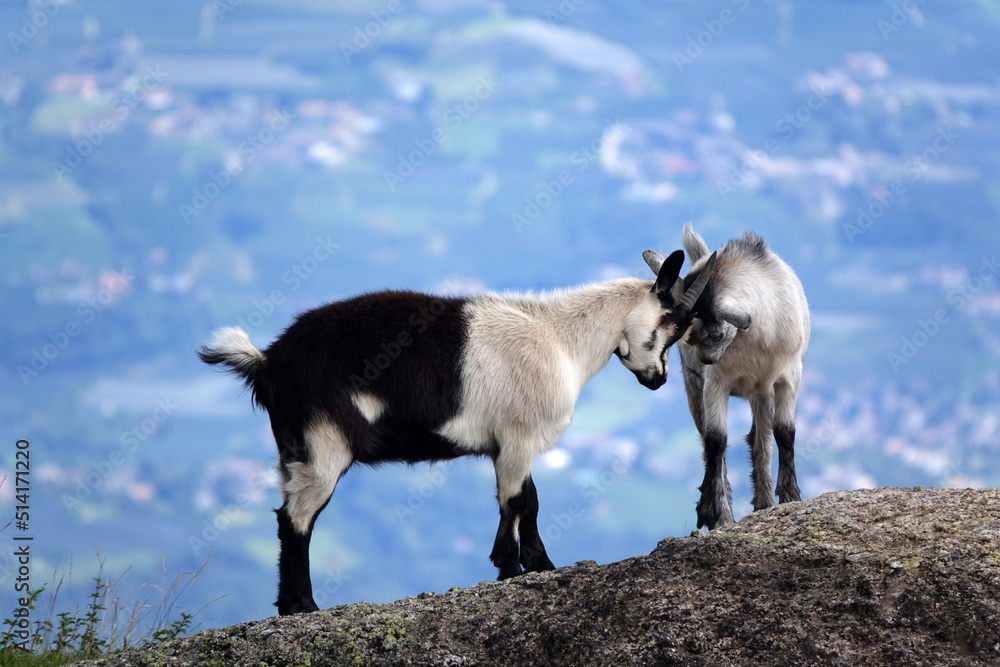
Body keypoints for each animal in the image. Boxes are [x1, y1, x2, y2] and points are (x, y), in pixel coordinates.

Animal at [198, 249, 717, 615]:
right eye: (672, 324)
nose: (658, 379)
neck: (559, 338)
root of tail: (267, 362)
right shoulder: (519, 437)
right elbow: (515, 502)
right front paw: (509, 569)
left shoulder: (510, 442)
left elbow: (528, 501)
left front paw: (539, 565)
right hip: (324, 443)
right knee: (297, 518)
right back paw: (302, 606)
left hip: (292, 448)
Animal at [643, 224, 809, 530]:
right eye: (687, 337)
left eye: (719, 335)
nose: (706, 361)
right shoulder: (715, 383)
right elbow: (716, 440)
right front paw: (715, 513)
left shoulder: (788, 378)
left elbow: (784, 432)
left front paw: (791, 496)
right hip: (696, 387)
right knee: (713, 442)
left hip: (762, 391)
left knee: (761, 438)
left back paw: (764, 502)